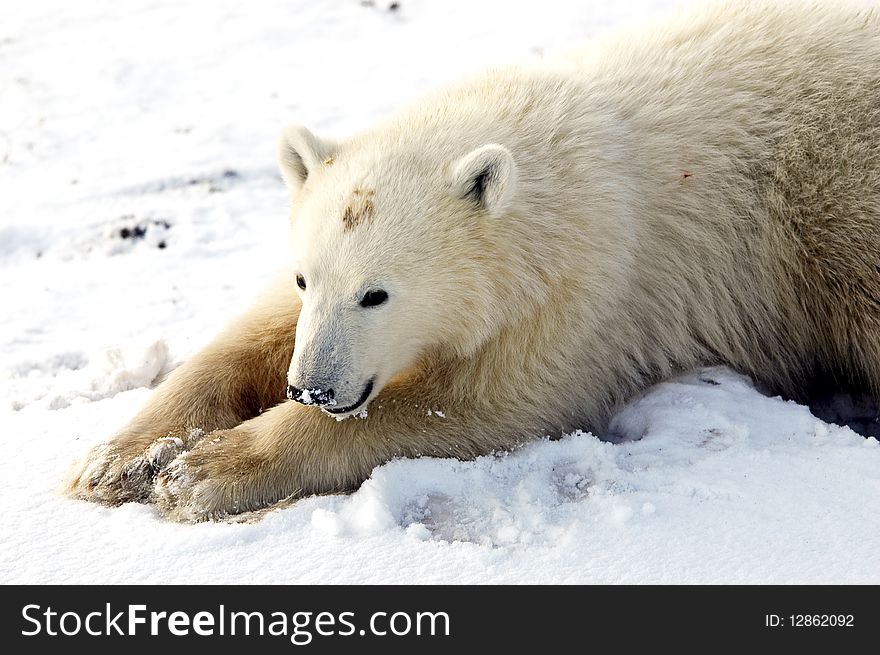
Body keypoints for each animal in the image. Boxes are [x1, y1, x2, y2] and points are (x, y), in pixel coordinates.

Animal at [67, 1, 880, 524]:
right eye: (307, 276)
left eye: (377, 294)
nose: (312, 389)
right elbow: (253, 335)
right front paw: (116, 461)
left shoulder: (583, 288)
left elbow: (473, 404)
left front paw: (203, 471)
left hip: (837, 205)